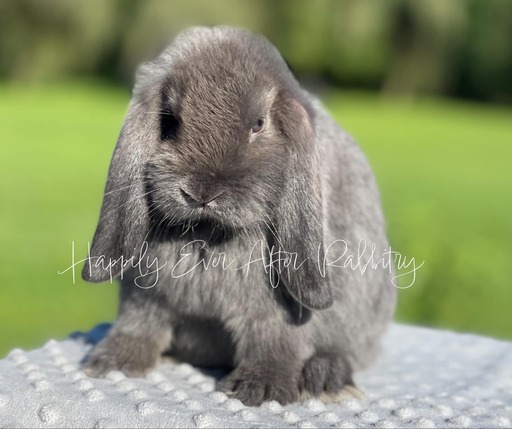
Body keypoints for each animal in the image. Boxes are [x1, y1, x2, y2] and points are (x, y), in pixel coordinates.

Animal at [83, 26, 396, 404]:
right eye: (170, 122)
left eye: (258, 124)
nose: (201, 193)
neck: (206, 234)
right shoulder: (146, 296)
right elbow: (139, 326)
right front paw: (111, 361)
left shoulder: (275, 312)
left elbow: (275, 342)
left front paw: (258, 389)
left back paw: (326, 378)